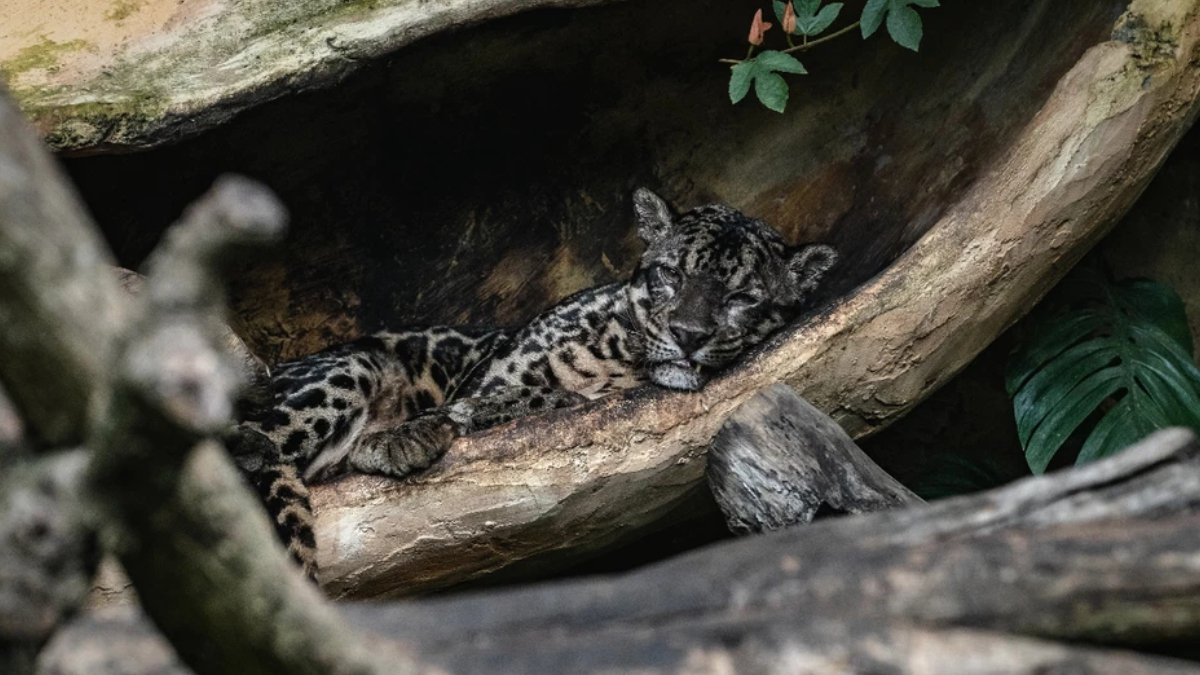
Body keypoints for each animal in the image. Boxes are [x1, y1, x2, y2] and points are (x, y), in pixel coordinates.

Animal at [226, 188, 838, 579]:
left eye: (742, 297)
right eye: (672, 274)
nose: (687, 335)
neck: (627, 360)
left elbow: (550, 395)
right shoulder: (493, 369)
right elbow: (510, 391)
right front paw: (405, 435)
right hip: (348, 369)